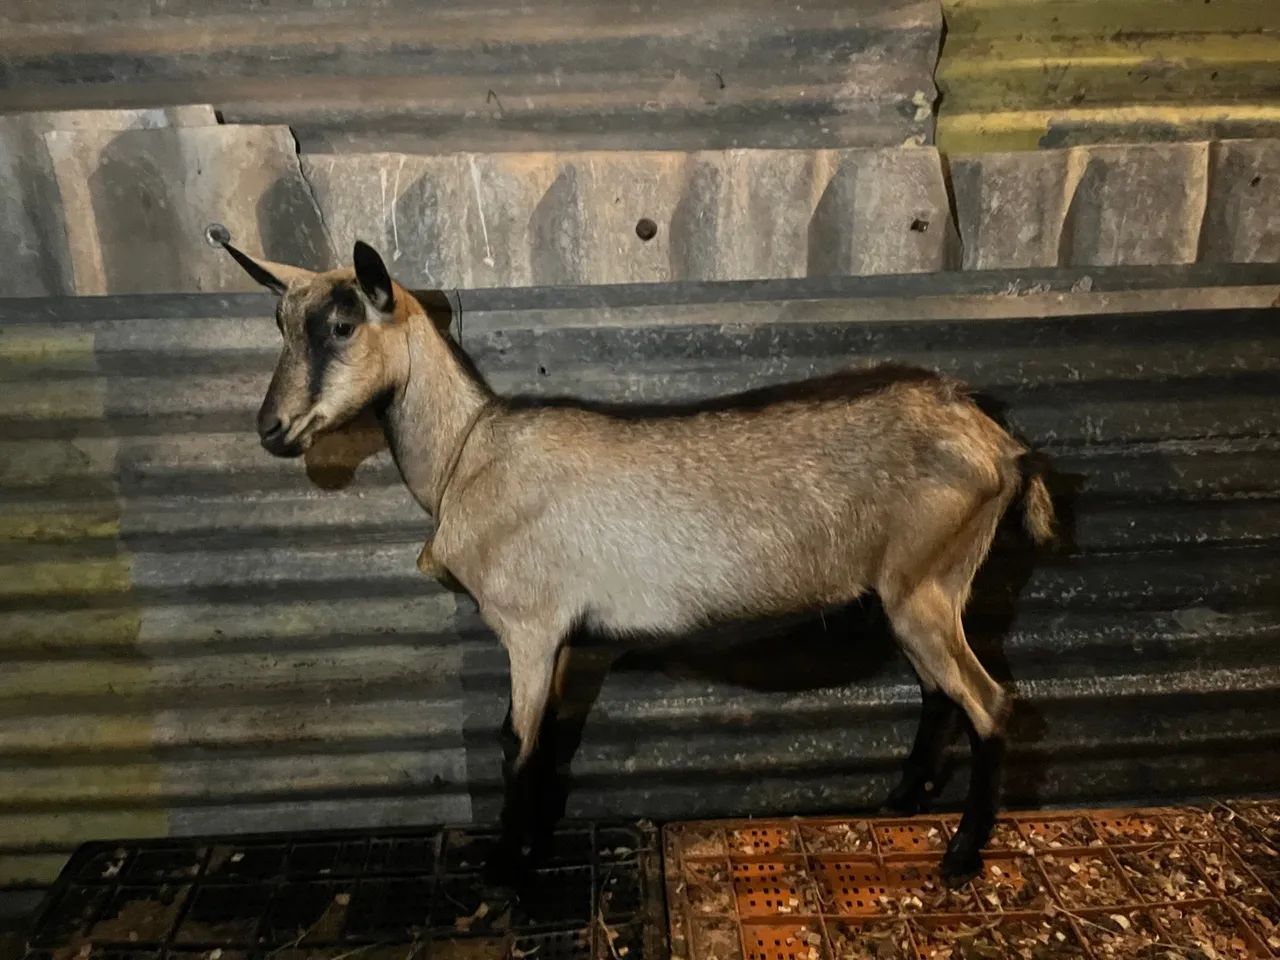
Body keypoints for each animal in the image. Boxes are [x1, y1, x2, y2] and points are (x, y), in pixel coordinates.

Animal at [222, 239, 1055, 885]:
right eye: (280, 323)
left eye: (341, 324)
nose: (272, 429)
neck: (467, 452)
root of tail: (997, 440)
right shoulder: (565, 639)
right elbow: (544, 739)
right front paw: (531, 847)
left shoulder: (529, 627)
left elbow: (518, 745)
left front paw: (507, 867)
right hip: (915, 591)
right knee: (938, 692)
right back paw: (905, 800)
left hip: (927, 582)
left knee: (989, 701)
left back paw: (961, 856)